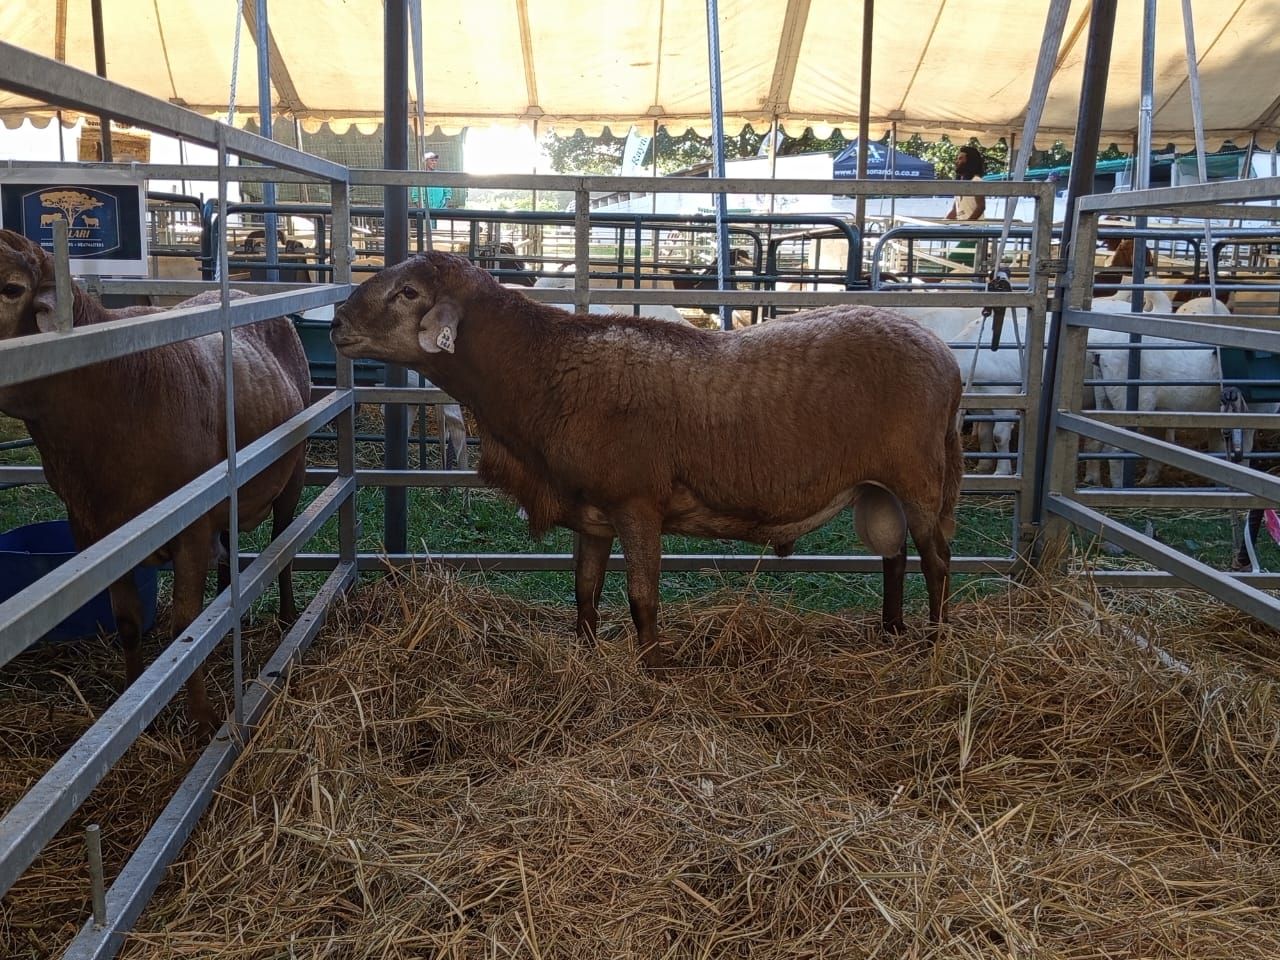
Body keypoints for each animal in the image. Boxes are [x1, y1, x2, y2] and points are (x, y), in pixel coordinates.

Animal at [0, 229, 310, 735]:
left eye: (11, 288)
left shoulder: (191, 529)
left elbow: (185, 625)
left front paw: (202, 717)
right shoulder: (93, 532)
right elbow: (127, 621)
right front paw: (131, 696)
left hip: (293, 473)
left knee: (283, 543)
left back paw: (285, 617)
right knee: (228, 563)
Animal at [330, 251, 964, 667]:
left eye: (409, 293)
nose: (336, 324)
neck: (542, 369)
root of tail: (947, 360)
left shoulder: (637, 503)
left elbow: (642, 598)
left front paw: (653, 668)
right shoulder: (593, 513)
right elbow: (584, 588)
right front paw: (586, 651)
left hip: (919, 477)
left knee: (936, 560)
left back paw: (934, 641)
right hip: (878, 487)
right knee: (894, 557)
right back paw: (891, 632)